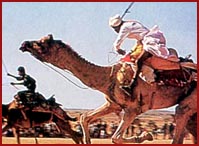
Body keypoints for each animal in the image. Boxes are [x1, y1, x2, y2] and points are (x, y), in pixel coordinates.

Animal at [19, 34, 197, 144]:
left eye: (42, 43)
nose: (24, 44)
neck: (109, 77)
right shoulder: (113, 104)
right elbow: (84, 117)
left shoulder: (133, 108)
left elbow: (115, 137)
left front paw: (146, 135)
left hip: (191, 100)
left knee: (180, 119)